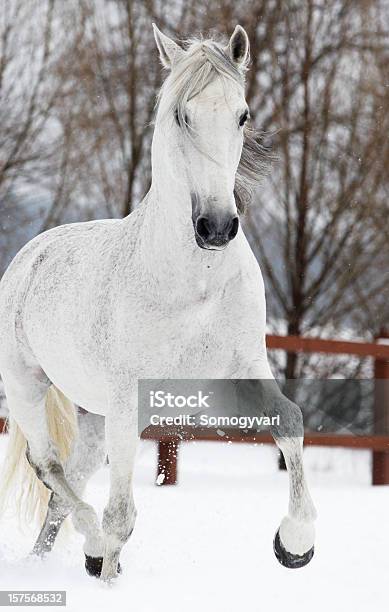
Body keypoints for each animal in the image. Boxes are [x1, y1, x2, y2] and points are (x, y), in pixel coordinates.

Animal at [0, 25, 316, 584]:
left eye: (243, 115)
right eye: (181, 115)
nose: (216, 227)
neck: (196, 286)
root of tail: (31, 253)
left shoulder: (244, 370)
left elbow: (289, 421)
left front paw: (295, 544)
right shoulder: (130, 399)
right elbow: (121, 515)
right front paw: (109, 579)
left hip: (94, 412)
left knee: (66, 486)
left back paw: (57, 557)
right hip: (28, 387)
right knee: (50, 468)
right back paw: (90, 548)